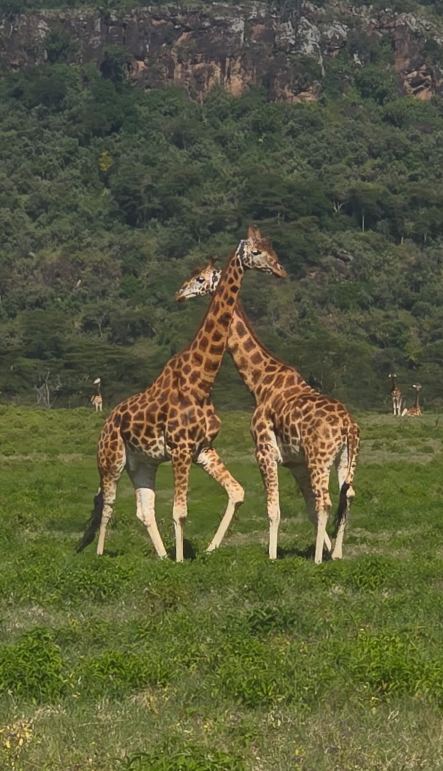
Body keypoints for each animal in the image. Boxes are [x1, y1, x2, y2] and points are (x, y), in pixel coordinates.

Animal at [77, 227, 287, 562]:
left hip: (142, 463)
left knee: (143, 509)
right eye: (256, 252)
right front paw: (180, 561)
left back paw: (161, 556)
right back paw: (100, 556)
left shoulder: (202, 449)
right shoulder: (180, 449)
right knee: (107, 506)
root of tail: (106, 424)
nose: (280, 269)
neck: (201, 381)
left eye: (269, 248)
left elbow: (235, 492)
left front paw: (200, 552)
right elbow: (179, 511)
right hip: (111, 461)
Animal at [176, 261, 360, 564]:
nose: (180, 293)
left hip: (320, 458)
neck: (259, 382)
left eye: (200, 278)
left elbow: (273, 508)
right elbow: (308, 509)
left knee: (327, 501)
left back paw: (317, 560)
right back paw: (338, 555)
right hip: (346, 459)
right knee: (348, 495)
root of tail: (349, 426)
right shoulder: (296, 462)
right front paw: (328, 549)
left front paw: (272, 556)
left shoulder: (264, 451)